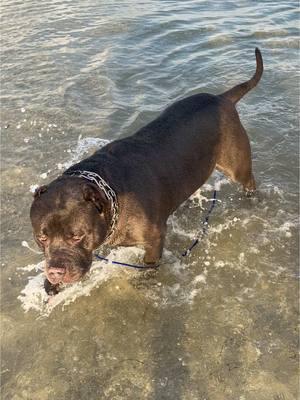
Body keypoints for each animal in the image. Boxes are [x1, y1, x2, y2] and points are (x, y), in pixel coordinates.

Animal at [29, 48, 262, 292]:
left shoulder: (154, 239)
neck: (109, 190)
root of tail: (221, 98)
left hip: (237, 166)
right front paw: (50, 284)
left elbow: (149, 265)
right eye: (41, 238)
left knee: (249, 181)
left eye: (76, 236)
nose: (56, 271)